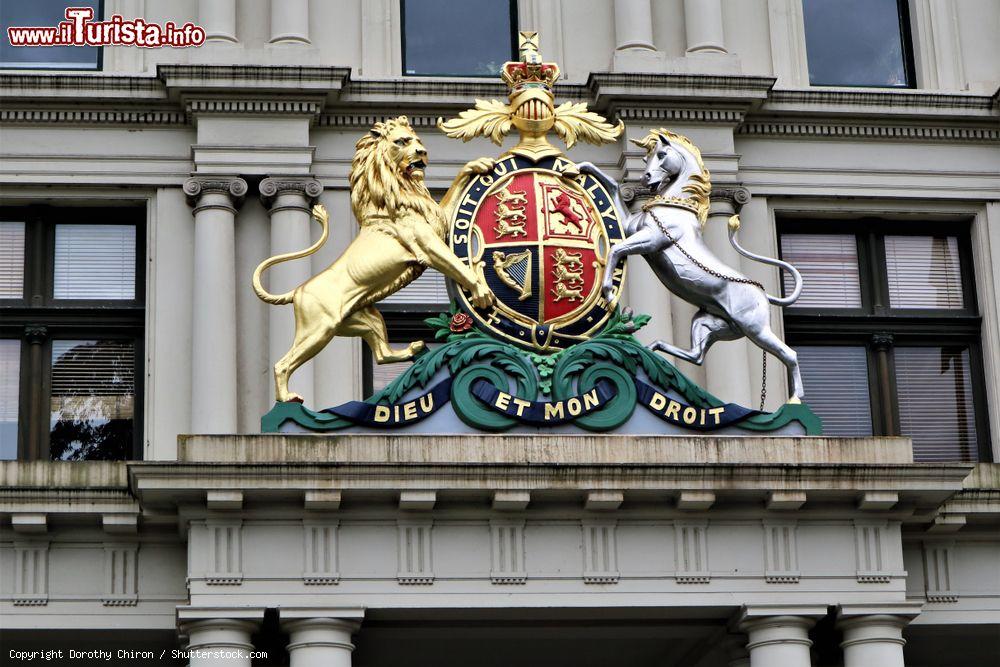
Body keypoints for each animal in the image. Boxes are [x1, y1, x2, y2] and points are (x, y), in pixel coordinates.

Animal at [254, 116, 496, 402]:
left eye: (418, 140)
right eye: (401, 141)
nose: (423, 152)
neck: (398, 190)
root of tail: (297, 291)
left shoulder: (439, 222)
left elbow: (451, 197)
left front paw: (478, 165)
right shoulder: (426, 243)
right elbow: (457, 265)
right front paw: (482, 291)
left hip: (366, 318)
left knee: (381, 354)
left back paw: (411, 350)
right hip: (318, 328)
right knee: (283, 363)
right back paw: (288, 398)